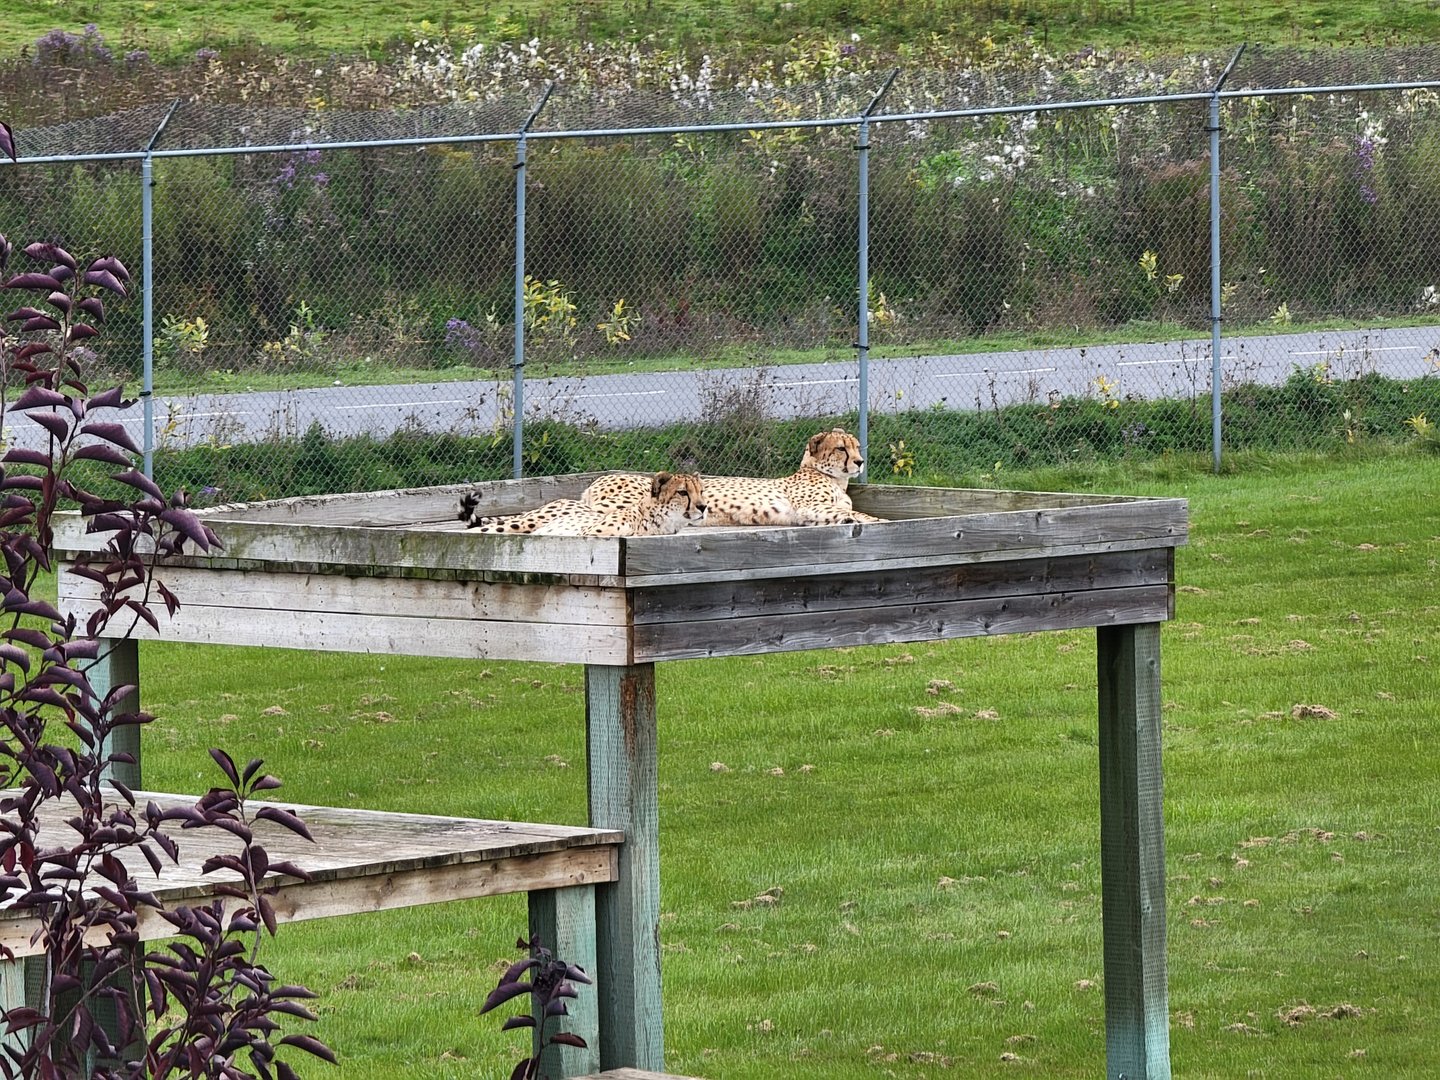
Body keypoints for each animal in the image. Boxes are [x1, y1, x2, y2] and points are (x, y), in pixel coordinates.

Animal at [580, 427, 885, 528]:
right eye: (841, 448)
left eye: (857, 446)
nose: (860, 462)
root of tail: (596, 482)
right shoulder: (810, 506)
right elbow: (862, 515)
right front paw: (879, 521)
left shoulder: (809, 514)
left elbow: (846, 514)